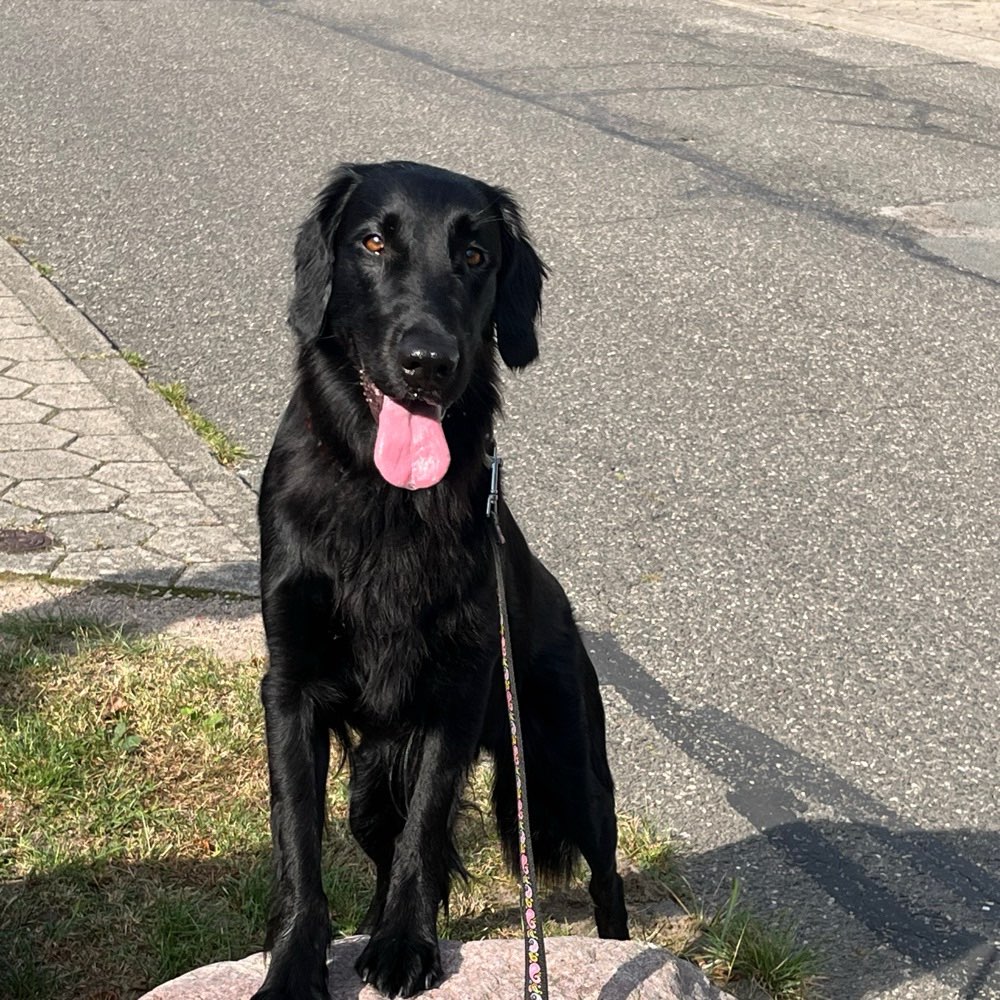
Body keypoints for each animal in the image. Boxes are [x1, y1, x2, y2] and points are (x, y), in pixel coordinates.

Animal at [254, 160, 628, 996]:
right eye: (371, 241)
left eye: (476, 256)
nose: (429, 363)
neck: (385, 495)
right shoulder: (291, 687)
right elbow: (298, 845)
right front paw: (295, 964)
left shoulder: (456, 690)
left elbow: (426, 830)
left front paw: (403, 945)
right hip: (372, 779)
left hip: (563, 764)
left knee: (607, 875)